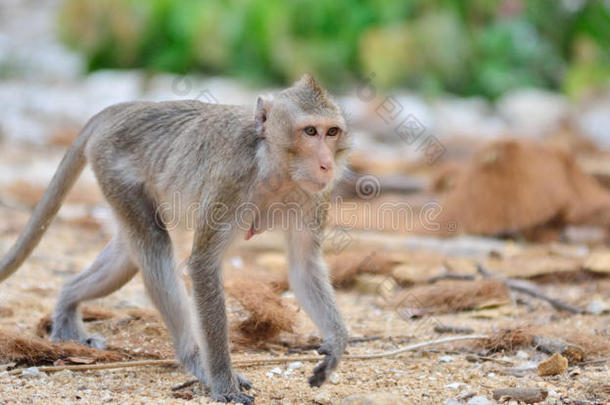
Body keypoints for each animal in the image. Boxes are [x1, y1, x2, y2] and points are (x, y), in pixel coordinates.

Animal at [0, 74, 350, 402]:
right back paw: (195, 360)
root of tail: (124, 108)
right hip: (114, 167)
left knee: (128, 256)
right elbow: (203, 265)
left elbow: (304, 265)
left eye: (332, 132)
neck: (275, 166)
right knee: (154, 247)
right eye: (310, 132)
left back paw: (68, 300)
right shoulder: (230, 180)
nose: (326, 164)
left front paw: (336, 343)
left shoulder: (316, 196)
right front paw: (223, 381)